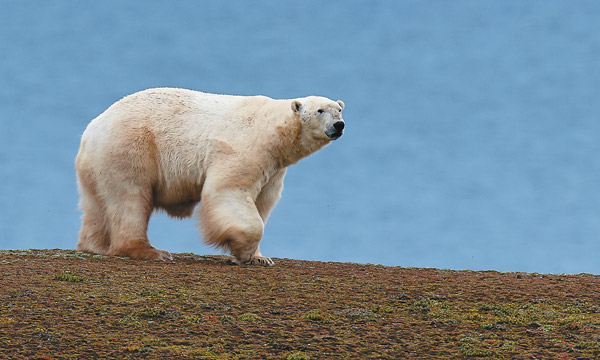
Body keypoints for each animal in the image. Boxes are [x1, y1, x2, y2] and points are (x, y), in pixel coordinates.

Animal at [75, 88, 344, 266]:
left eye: (339, 109)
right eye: (320, 110)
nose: (339, 125)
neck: (274, 131)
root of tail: (91, 130)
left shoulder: (275, 168)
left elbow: (263, 202)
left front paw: (261, 257)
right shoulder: (244, 148)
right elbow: (229, 190)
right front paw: (241, 250)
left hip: (97, 165)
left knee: (97, 205)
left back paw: (94, 246)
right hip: (132, 146)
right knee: (130, 198)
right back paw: (150, 251)